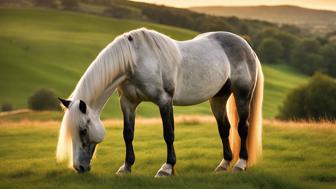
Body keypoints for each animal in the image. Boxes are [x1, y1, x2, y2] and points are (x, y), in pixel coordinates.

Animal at [56, 28, 264, 177]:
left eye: (83, 130)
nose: (79, 167)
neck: (134, 60)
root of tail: (247, 47)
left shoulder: (164, 101)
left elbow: (168, 134)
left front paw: (167, 168)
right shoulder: (128, 103)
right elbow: (128, 134)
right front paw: (126, 167)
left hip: (242, 95)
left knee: (242, 127)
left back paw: (240, 164)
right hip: (219, 97)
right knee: (224, 129)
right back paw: (224, 164)